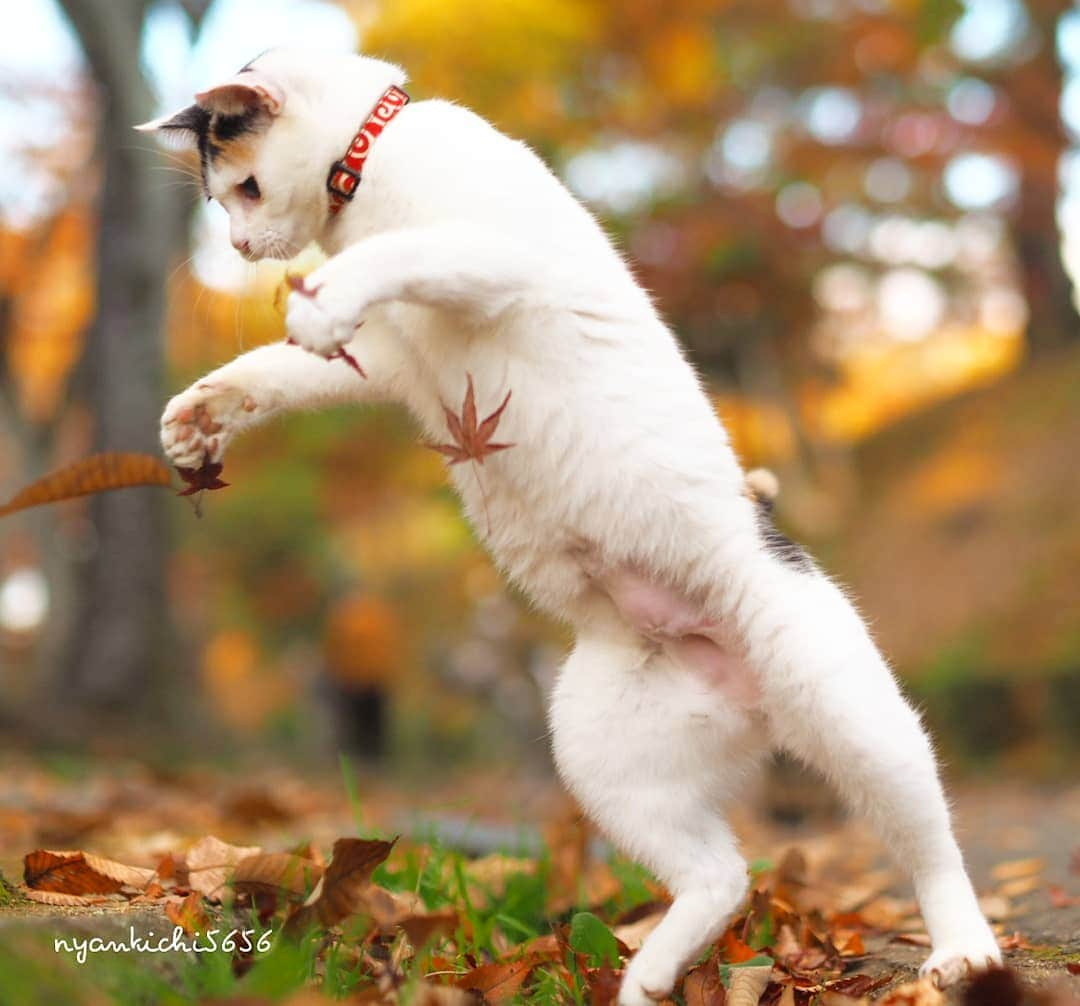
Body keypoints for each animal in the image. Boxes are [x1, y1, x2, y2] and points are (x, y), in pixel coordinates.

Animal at [143, 49, 1002, 1006]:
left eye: (245, 189)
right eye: (222, 200)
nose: (236, 248)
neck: (367, 165)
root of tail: (749, 693)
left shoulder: (492, 255)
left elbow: (400, 253)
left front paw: (323, 298)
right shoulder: (388, 361)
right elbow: (273, 372)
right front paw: (201, 414)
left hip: (854, 719)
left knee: (928, 845)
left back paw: (963, 952)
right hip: (604, 758)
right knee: (722, 877)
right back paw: (648, 978)